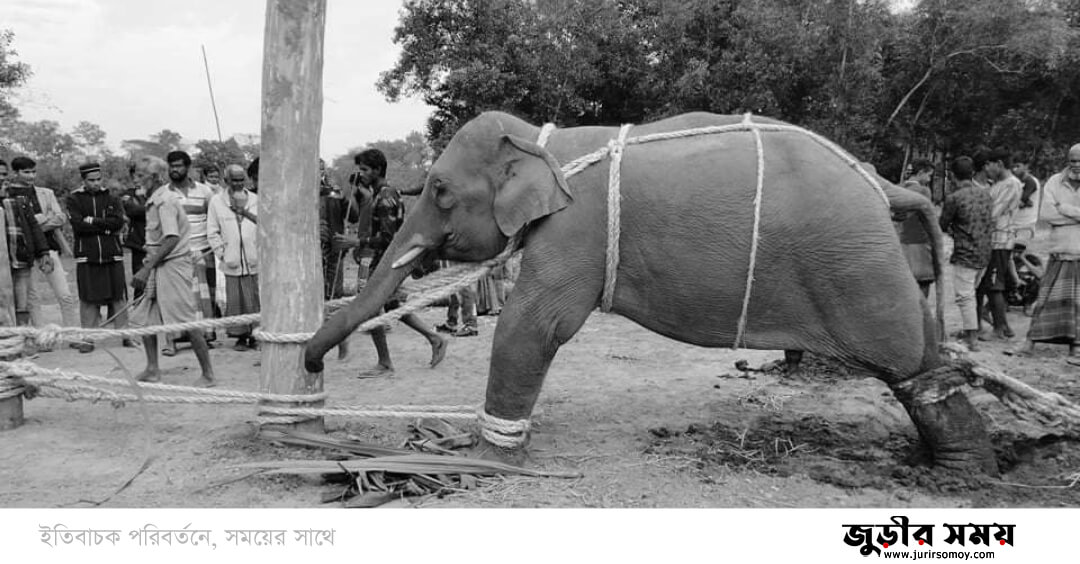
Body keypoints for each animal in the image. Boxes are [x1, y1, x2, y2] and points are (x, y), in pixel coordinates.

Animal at [304, 108, 993, 468]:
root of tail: (884, 183)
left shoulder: (574, 228)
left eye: (441, 190)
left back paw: (959, 472)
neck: (549, 142)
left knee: (909, 360)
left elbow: (536, 325)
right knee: (925, 355)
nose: (311, 366)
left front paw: (478, 459)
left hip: (858, 267)